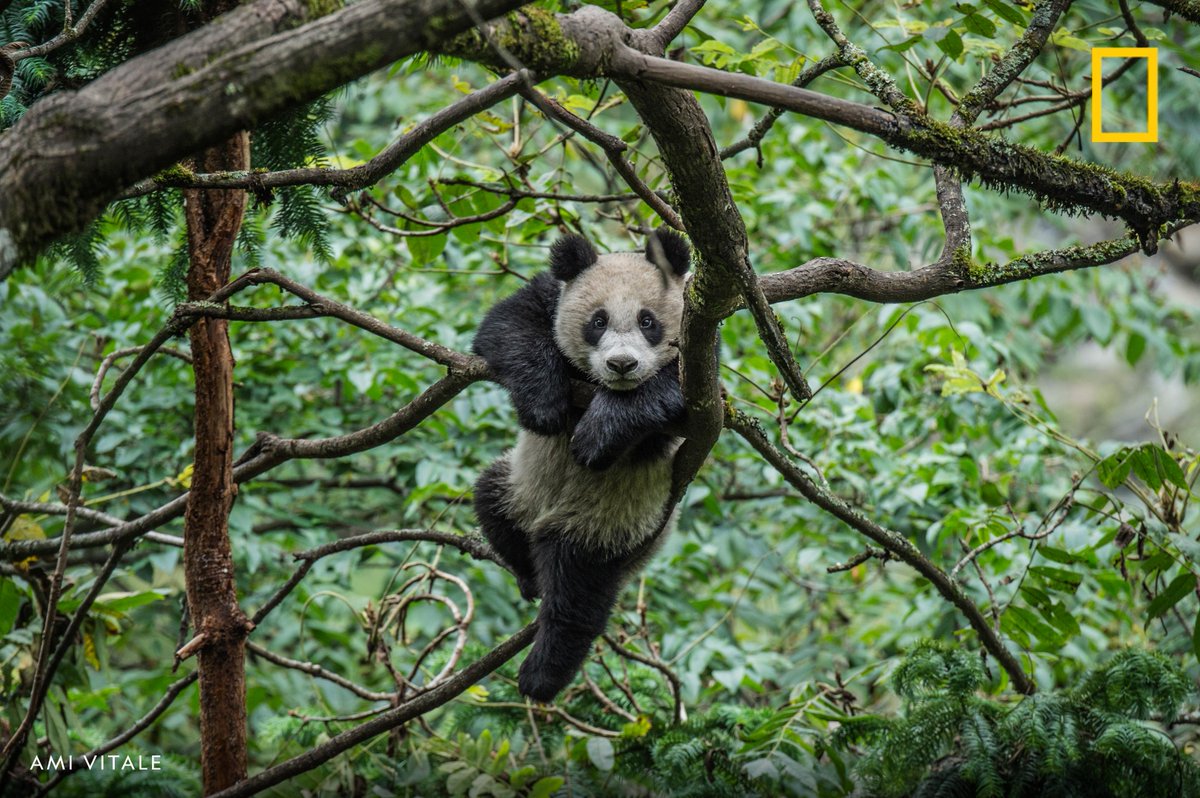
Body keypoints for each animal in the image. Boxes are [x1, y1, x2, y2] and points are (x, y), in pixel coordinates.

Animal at [473, 228, 691, 702]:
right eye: (598, 321)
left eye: (648, 322)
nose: (622, 364)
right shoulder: (549, 298)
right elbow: (507, 325)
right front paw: (543, 405)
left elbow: (668, 394)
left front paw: (597, 435)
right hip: (519, 484)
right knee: (491, 500)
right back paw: (528, 576)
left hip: (607, 520)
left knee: (577, 592)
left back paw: (541, 673)